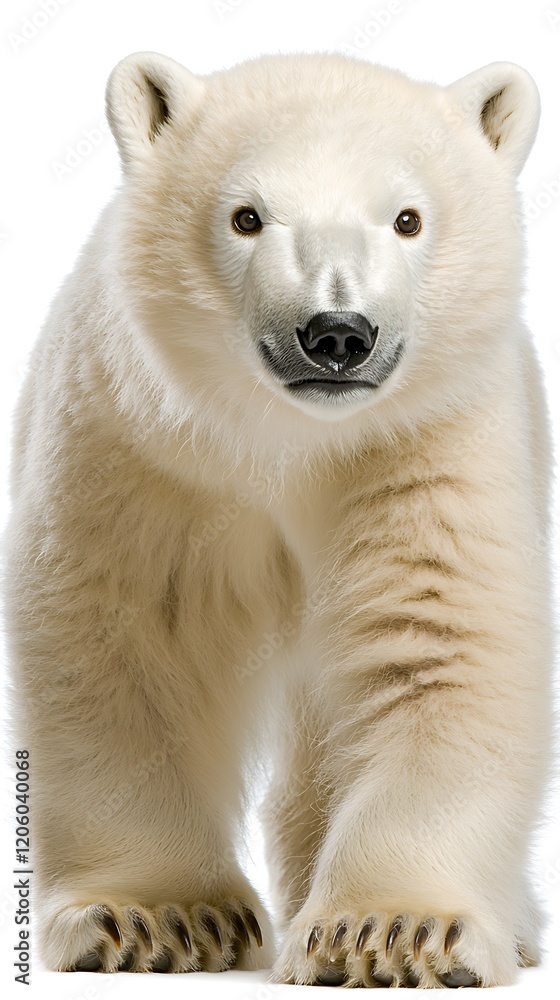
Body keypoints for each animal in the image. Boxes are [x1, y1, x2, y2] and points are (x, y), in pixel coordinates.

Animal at [3, 50, 554, 988]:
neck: (291, 439)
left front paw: (393, 932)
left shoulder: (427, 444)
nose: (336, 333)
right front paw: (156, 918)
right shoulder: (139, 445)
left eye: (408, 218)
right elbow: (122, 639)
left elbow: (438, 638)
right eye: (246, 216)